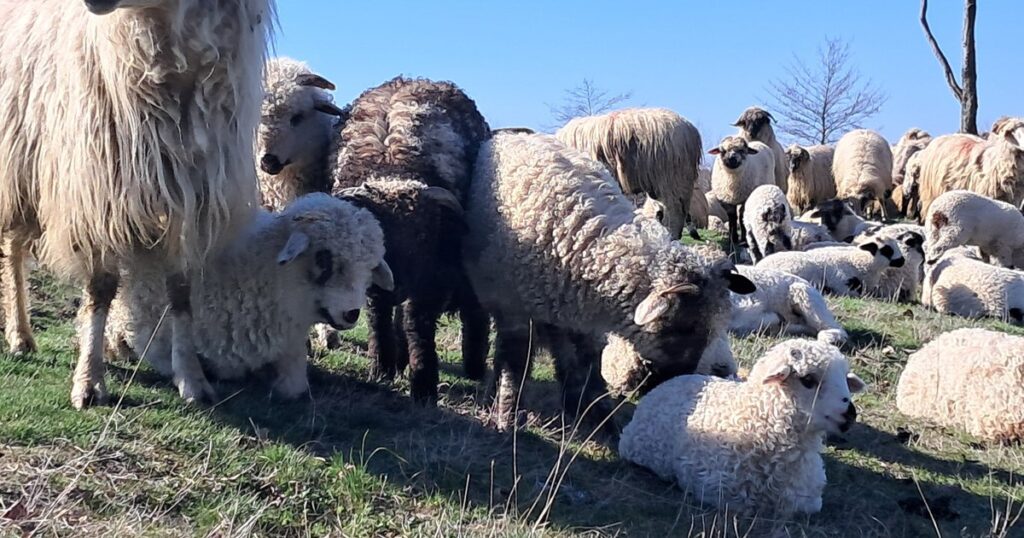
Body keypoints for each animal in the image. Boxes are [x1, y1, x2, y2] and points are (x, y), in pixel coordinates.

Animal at [0, 0, 273, 408]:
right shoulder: (99, 195)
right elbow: (100, 290)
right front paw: (89, 381)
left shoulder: (190, 200)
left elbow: (181, 292)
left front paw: (191, 378)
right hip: (18, 170)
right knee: (12, 251)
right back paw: (20, 335)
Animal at [327, 76, 492, 404]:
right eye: (375, 236)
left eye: (422, 237)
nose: (397, 285)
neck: (391, 168)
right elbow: (378, 317)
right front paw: (382, 367)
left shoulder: (433, 275)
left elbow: (417, 322)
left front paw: (424, 384)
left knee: (472, 309)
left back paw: (475, 366)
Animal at [464, 132, 755, 430]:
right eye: (684, 327)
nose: (674, 385)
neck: (580, 239)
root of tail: (517, 133)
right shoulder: (515, 313)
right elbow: (514, 365)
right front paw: (507, 416)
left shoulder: (580, 320)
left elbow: (587, 364)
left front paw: (600, 417)